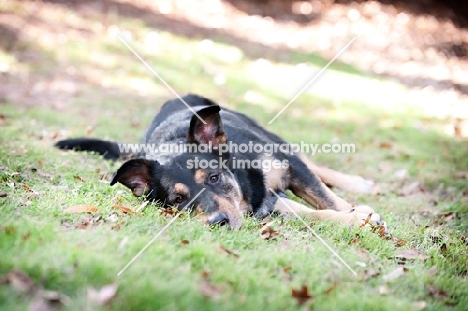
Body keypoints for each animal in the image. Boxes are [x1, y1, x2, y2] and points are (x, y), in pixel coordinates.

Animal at [55, 95, 384, 232]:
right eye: (177, 200)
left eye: (213, 178)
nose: (218, 222)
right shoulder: (267, 203)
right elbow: (313, 213)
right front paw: (355, 218)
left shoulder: (290, 168)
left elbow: (327, 198)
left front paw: (358, 213)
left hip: (277, 142)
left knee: (312, 163)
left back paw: (358, 184)